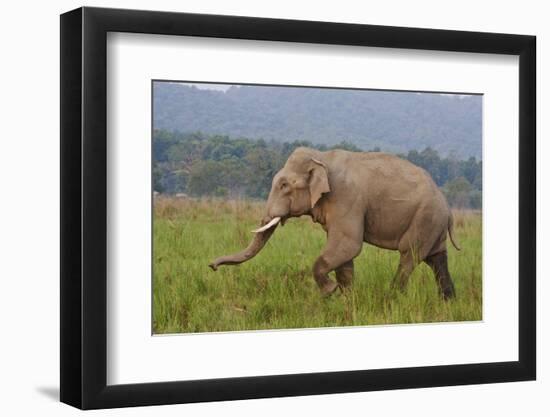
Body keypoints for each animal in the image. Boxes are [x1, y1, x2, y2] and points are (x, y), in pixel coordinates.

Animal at [209, 146, 464, 300]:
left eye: (284, 185)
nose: (211, 266)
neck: (321, 157)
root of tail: (448, 207)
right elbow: (345, 256)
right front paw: (347, 298)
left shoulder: (347, 199)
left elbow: (348, 245)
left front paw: (329, 292)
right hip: (433, 225)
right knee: (436, 259)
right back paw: (448, 302)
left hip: (425, 219)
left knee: (409, 256)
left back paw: (391, 297)